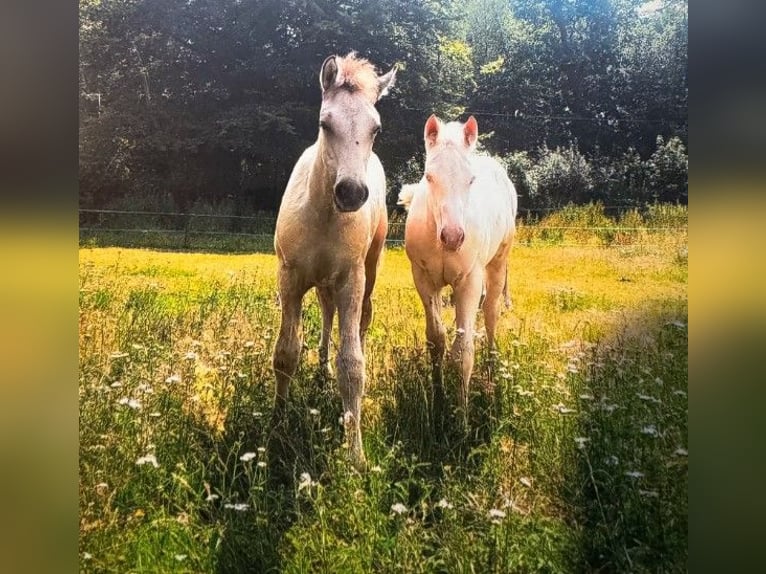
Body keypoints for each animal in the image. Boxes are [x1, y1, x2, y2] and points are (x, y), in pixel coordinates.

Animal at [272, 53, 396, 470]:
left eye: (376, 128)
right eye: (325, 124)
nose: (352, 192)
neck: (324, 215)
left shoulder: (350, 280)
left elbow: (353, 365)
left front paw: (355, 455)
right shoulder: (290, 278)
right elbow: (286, 353)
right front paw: (275, 428)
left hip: (367, 273)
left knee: (361, 321)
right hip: (322, 282)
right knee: (327, 315)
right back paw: (322, 368)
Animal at [401, 114, 518, 419]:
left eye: (471, 180)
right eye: (429, 177)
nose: (453, 237)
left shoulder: (469, 281)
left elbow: (464, 350)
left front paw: (462, 417)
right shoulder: (424, 280)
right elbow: (437, 340)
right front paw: (439, 400)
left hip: (497, 264)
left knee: (490, 313)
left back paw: (491, 369)